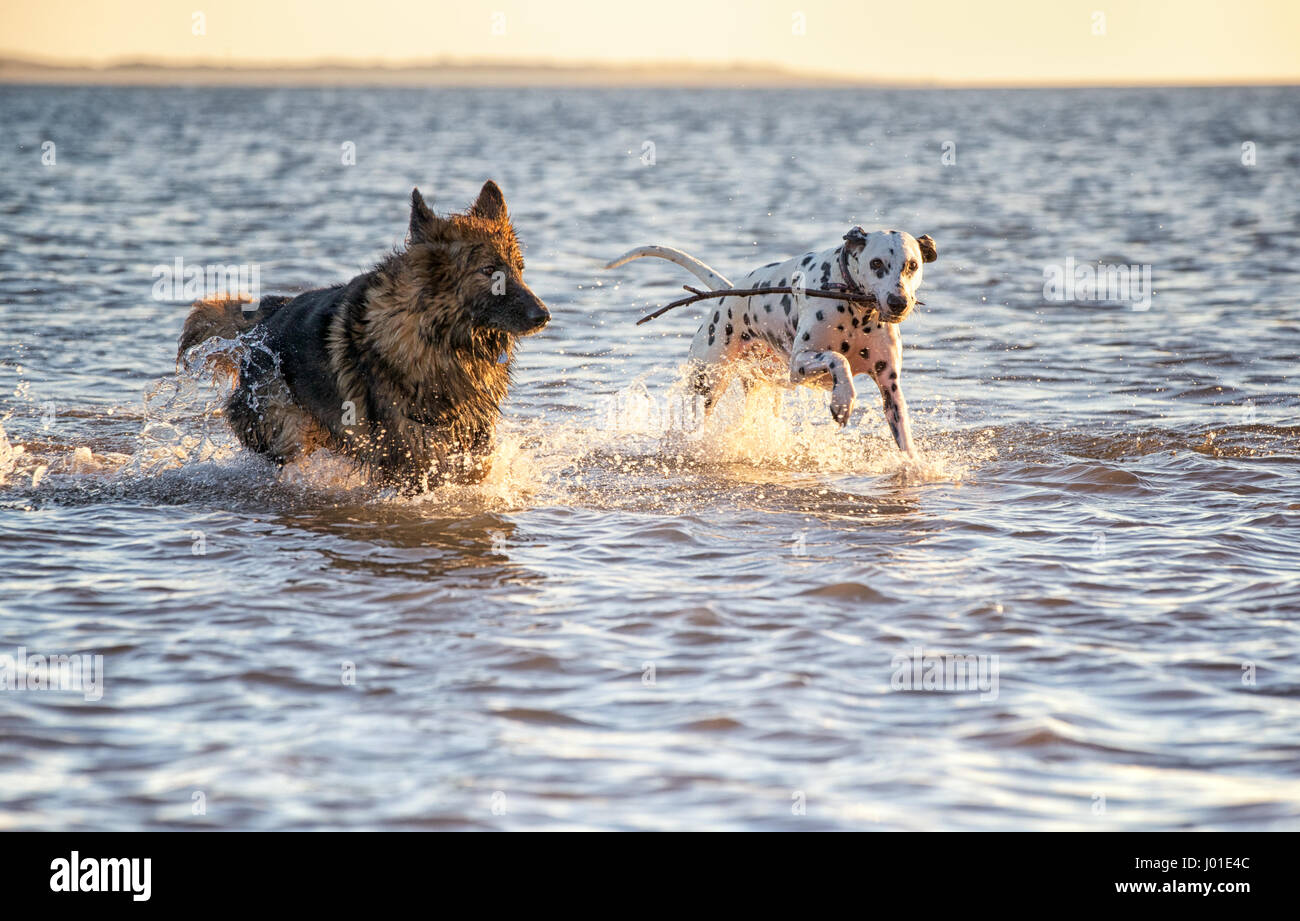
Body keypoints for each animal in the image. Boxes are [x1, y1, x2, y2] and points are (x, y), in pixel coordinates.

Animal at [178, 182, 548, 491]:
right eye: (489, 272)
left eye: (519, 269)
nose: (543, 316)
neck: (440, 339)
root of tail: (264, 318)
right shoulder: (407, 448)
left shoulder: (471, 436)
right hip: (289, 427)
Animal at [603, 228, 941, 455]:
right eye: (876, 263)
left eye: (912, 265)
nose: (899, 302)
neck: (857, 311)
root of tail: (729, 293)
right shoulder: (800, 363)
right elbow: (838, 359)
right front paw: (843, 400)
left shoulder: (889, 385)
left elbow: (904, 438)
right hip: (706, 385)